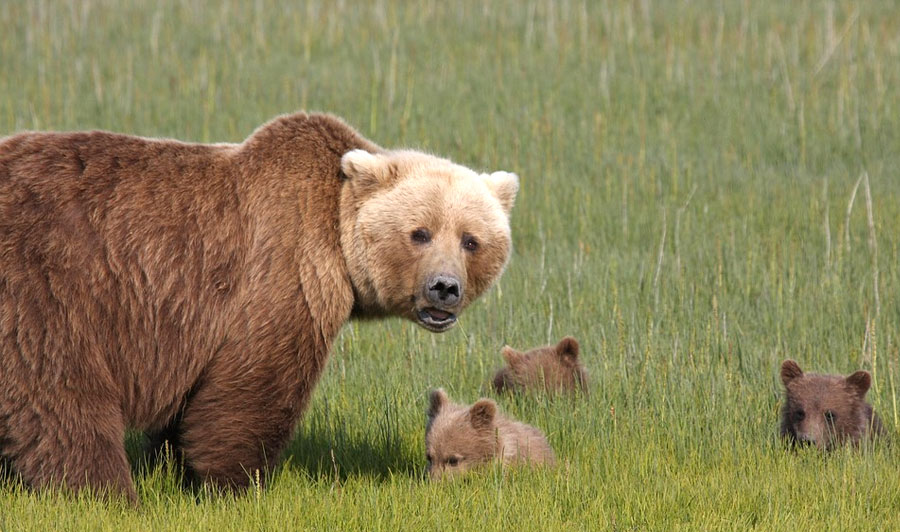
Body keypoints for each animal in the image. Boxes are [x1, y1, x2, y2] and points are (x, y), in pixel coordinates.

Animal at [0, 113, 520, 502]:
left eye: (471, 239)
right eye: (420, 233)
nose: (444, 288)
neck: (336, 238)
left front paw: (173, 465)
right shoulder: (283, 273)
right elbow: (252, 388)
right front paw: (233, 484)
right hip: (51, 285)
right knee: (60, 393)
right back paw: (104, 491)